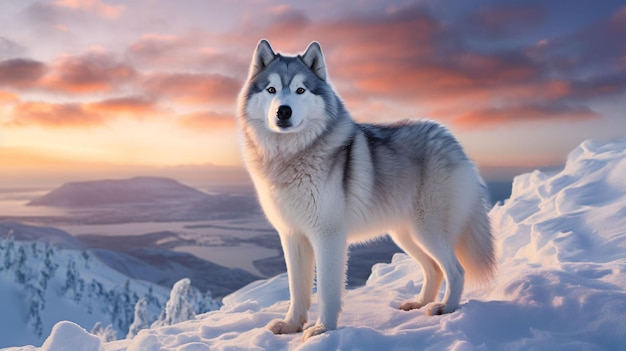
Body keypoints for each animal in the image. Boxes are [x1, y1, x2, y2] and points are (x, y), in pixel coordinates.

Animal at [236, 39, 494, 340]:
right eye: (271, 90)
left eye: (301, 90)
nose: (283, 111)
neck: (289, 157)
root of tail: (451, 139)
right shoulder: (292, 237)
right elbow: (297, 290)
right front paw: (291, 325)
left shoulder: (328, 236)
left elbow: (327, 290)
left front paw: (323, 330)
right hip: (406, 235)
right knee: (434, 270)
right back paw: (419, 304)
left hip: (427, 232)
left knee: (456, 270)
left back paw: (446, 309)